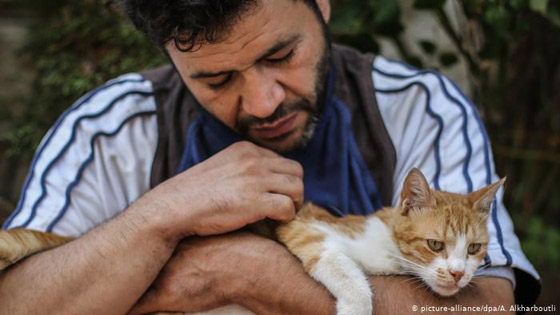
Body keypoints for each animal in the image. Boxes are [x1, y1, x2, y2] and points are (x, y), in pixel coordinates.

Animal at [0, 169, 506, 315]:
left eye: (474, 250)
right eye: (436, 245)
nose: (457, 274)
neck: (387, 253)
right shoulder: (307, 229)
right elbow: (346, 271)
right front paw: (356, 304)